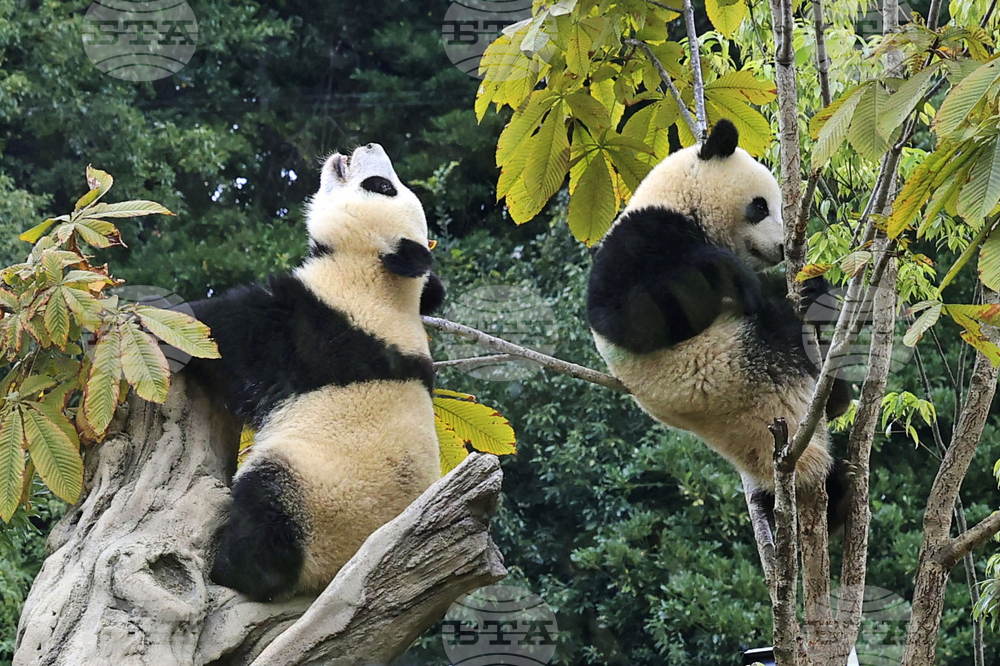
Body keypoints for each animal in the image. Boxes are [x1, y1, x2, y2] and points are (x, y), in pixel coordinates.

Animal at [187, 143, 445, 601]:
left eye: (381, 186)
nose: (371, 145)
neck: (380, 283)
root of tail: (329, 576)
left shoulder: (312, 325)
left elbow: (219, 334)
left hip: (314, 490)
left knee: (268, 507)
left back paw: (232, 569)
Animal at [587, 119, 851, 526]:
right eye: (760, 206)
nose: (781, 248)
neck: (680, 201)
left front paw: (813, 286)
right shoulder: (640, 238)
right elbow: (627, 316)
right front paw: (733, 275)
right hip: (737, 360)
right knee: (778, 326)